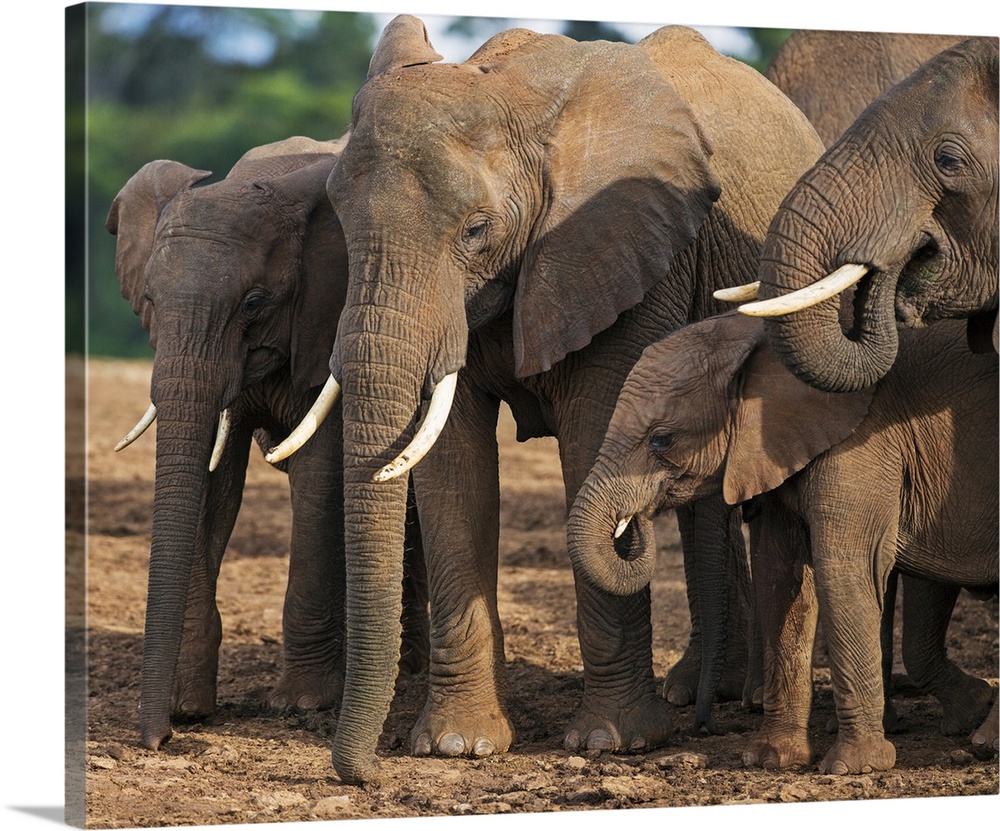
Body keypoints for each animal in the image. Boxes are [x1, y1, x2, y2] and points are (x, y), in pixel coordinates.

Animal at [107, 138, 428, 752]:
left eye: (254, 303)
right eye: (150, 300)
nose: (157, 741)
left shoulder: (328, 325)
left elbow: (319, 477)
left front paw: (299, 704)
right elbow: (210, 482)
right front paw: (188, 709)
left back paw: (409, 673)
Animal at [276, 14, 828, 788]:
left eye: (477, 231)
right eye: (345, 229)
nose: (365, 775)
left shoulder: (624, 250)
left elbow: (596, 428)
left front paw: (612, 742)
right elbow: (451, 465)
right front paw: (457, 746)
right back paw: (701, 693)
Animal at [568, 312, 996, 772]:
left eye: (660, 439)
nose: (703, 728)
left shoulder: (861, 447)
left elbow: (845, 570)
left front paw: (853, 766)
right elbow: (779, 576)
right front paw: (771, 759)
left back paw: (985, 740)